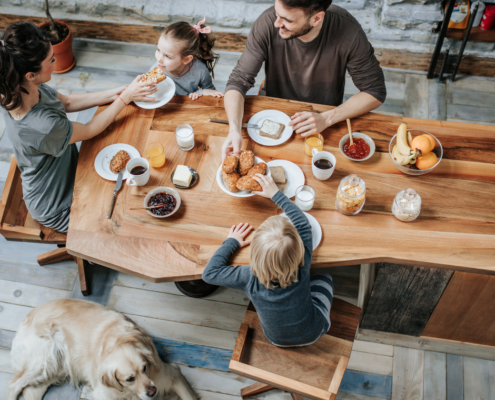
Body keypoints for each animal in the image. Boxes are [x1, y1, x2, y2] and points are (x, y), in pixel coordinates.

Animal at [7, 300, 198, 400]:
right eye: (129, 379)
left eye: (145, 368)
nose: (152, 392)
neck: (117, 341)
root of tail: (28, 315)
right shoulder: (103, 393)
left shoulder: (169, 374)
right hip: (41, 362)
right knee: (13, 385)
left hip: (51, 370)